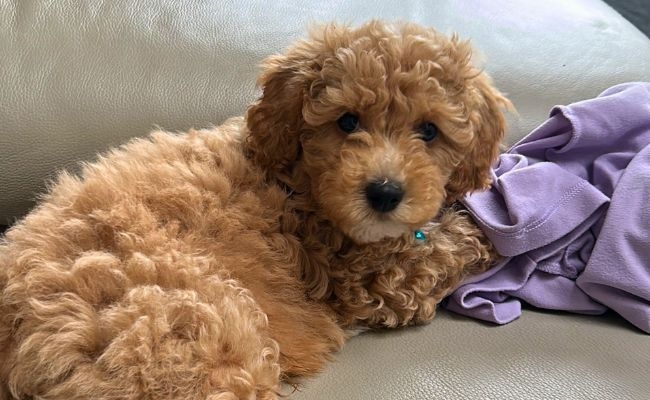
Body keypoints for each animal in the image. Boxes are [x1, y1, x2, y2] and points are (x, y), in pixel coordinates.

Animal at [0, 20, 506, 398]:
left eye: (429, 130)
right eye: (346, 122)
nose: (384, 192)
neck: (296, 180)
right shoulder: (373, 280)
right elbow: (452, 247)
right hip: (197, 345)